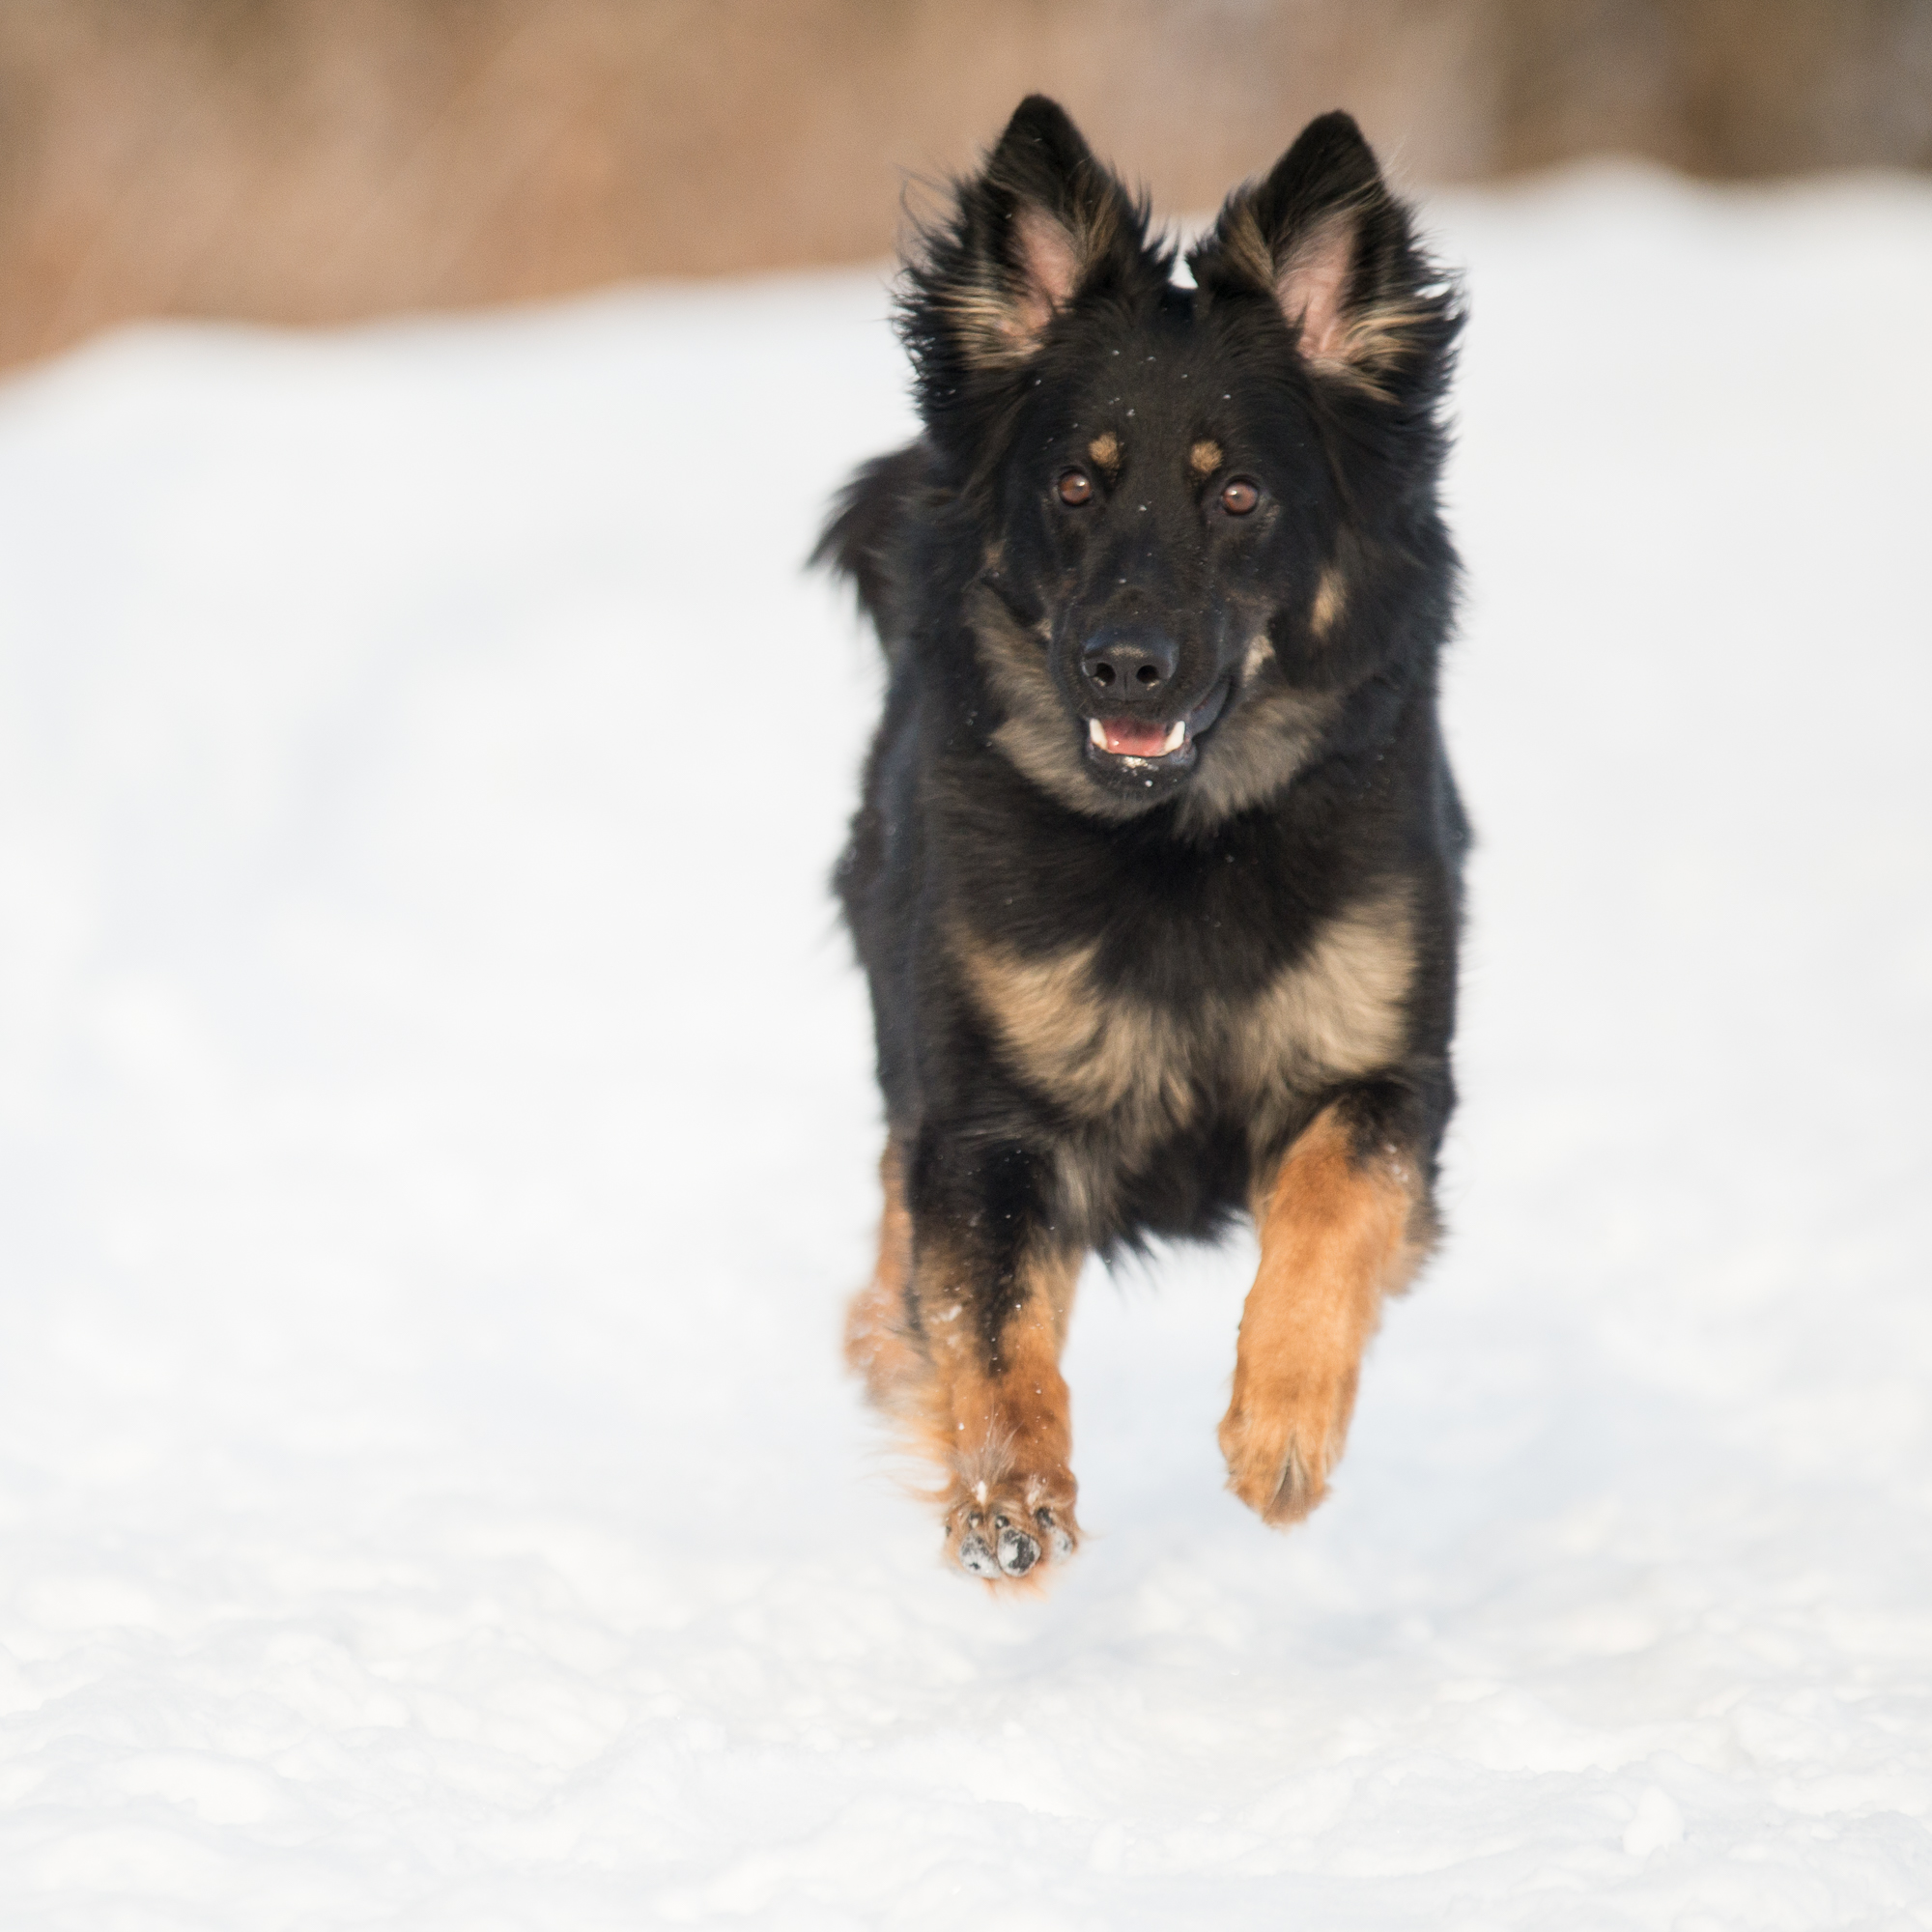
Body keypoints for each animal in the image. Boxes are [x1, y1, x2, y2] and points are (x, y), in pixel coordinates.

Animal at [815, 94, 1461, 1584]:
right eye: (1073, 485)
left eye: (1236, 497)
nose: (1123, 666)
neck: (1181, 846)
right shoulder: (988, 1122)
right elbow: (988, 1320)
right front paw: (1007, 1495)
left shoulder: (1392, 1077)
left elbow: (1334, 1202)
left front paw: (1281, 1424)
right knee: (895, 1229)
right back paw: (882, 1346)